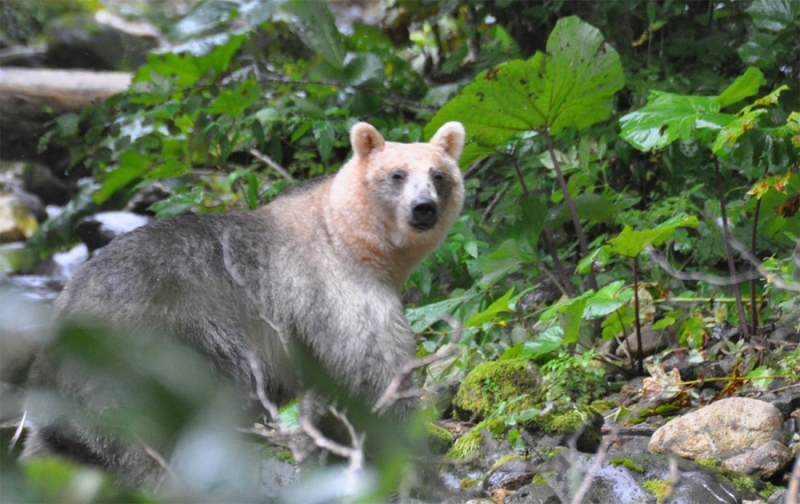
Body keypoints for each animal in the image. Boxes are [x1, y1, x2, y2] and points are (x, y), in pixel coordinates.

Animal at [23, 120, 468, 486]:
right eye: (397, 174)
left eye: (438, 174)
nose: (423, 207)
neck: (356, 241)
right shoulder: (337, 288)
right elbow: (374, 372)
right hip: (139, 358)